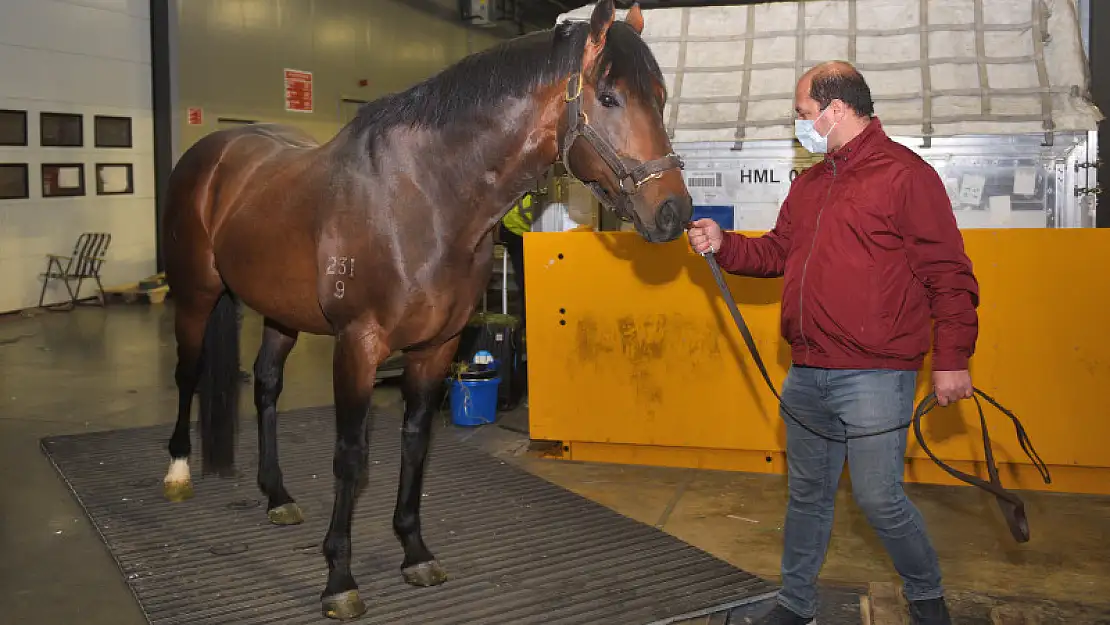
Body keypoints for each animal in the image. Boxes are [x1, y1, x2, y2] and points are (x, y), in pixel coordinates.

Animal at [160, 1, 688, 621]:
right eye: (608, 96)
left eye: (660, 97)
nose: (674, 211)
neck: (426, 198)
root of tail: (214, 151)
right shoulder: (358, 346)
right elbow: (351, 457)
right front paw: (339, 579)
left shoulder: (437, 347)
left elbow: (416, 442)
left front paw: (414, 552)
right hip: (196, 295)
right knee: (188, 374)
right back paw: (177, 471)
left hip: (280, 312)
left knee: (266, 384)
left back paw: (277, 495)